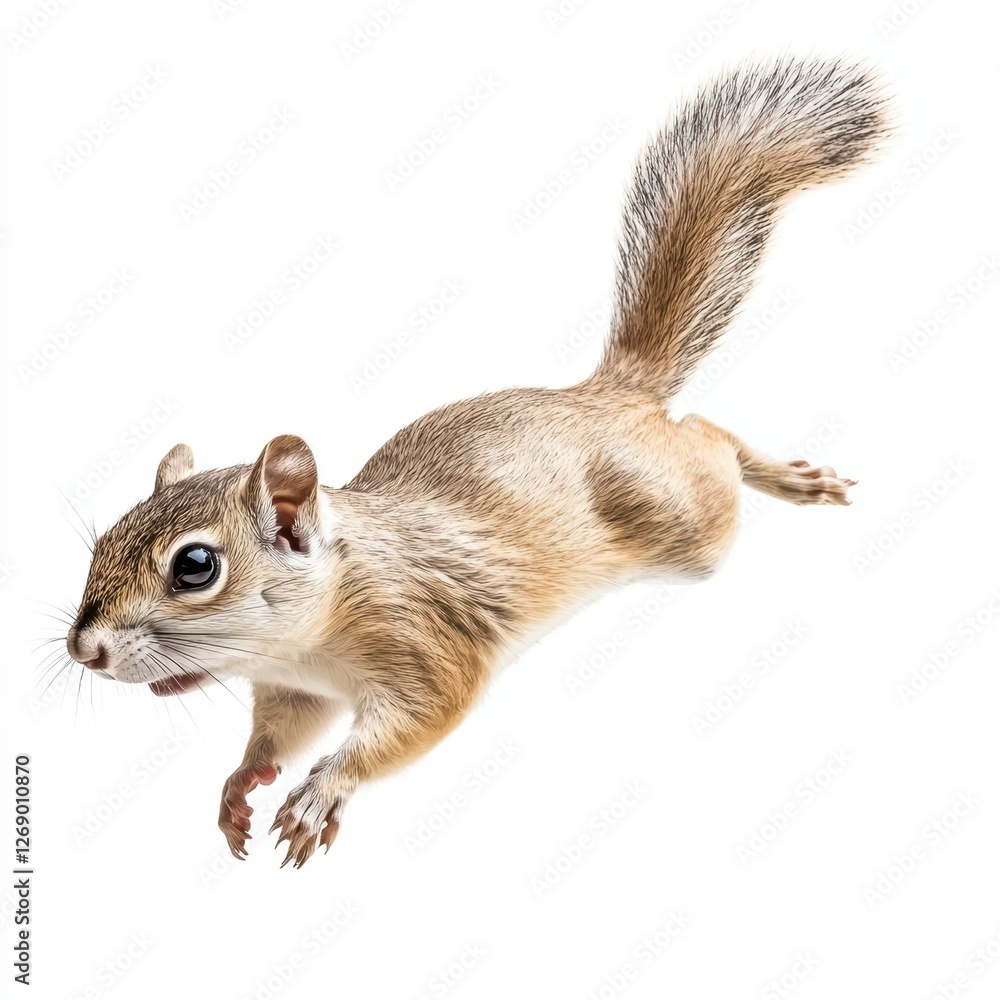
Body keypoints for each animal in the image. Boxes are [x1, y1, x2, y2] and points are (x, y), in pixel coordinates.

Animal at [65, 57, 889, 868]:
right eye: (103, 542)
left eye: (196, 566)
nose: (84, 650)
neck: (321, 622)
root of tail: (610, 394)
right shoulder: (298, 692)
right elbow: (282, 732)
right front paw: (241, 784)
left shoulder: (427, 639)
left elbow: (419, 719)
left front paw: (323, 791)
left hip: (687, 522)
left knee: (711, 438)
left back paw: (787, 476)